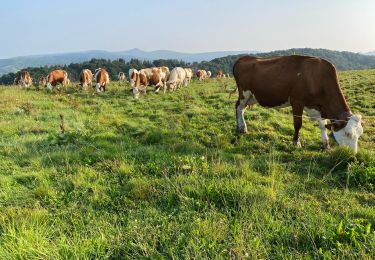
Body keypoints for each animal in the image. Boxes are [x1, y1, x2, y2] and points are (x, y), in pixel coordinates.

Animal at [232, 54, 364, 152]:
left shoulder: (318, 107)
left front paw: (326, 145)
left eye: (360, 135)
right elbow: (298, 124)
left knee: (241, 108)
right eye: (347, 134)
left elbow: (323, 125)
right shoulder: (297, 101)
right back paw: (242, 128)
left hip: (251, 96)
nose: (352, 155)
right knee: (238, 107)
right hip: (244, 93)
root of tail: (243, 58)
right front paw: (296, 142)